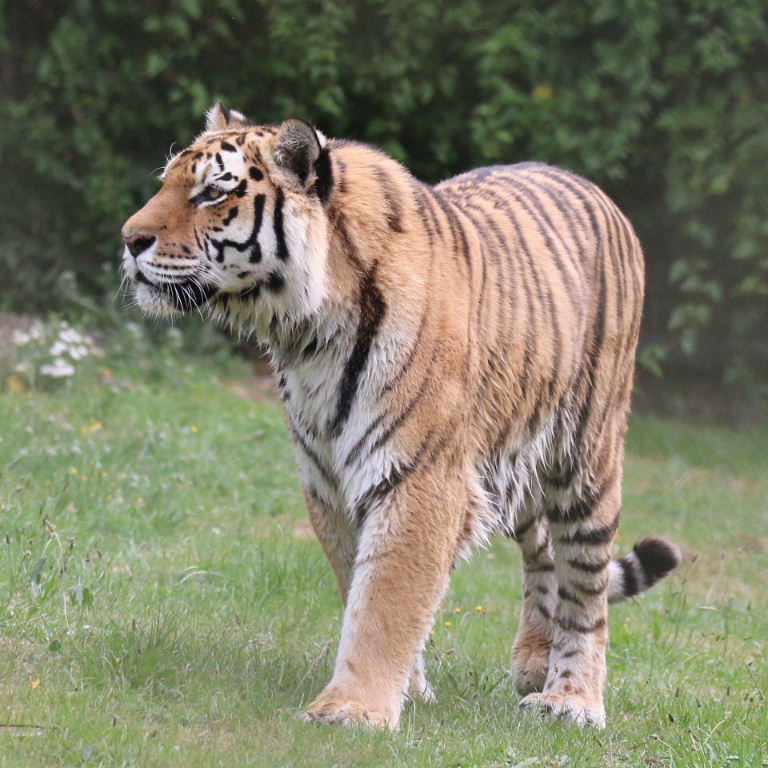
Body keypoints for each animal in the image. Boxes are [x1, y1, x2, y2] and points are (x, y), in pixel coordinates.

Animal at [123, 103, 680, 732]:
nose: (129, 239)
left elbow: (386, 597)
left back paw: (571, 700)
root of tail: (592, 189)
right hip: (512, 462)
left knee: (585, 584)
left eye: (213, 192)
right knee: (543, 556)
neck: (307, 335)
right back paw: (536, 664)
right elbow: (360, 584)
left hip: (586, 457)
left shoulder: (419, 475)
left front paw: (351, 710)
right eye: (167, 181)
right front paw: (405, 688)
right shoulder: (330, 481)